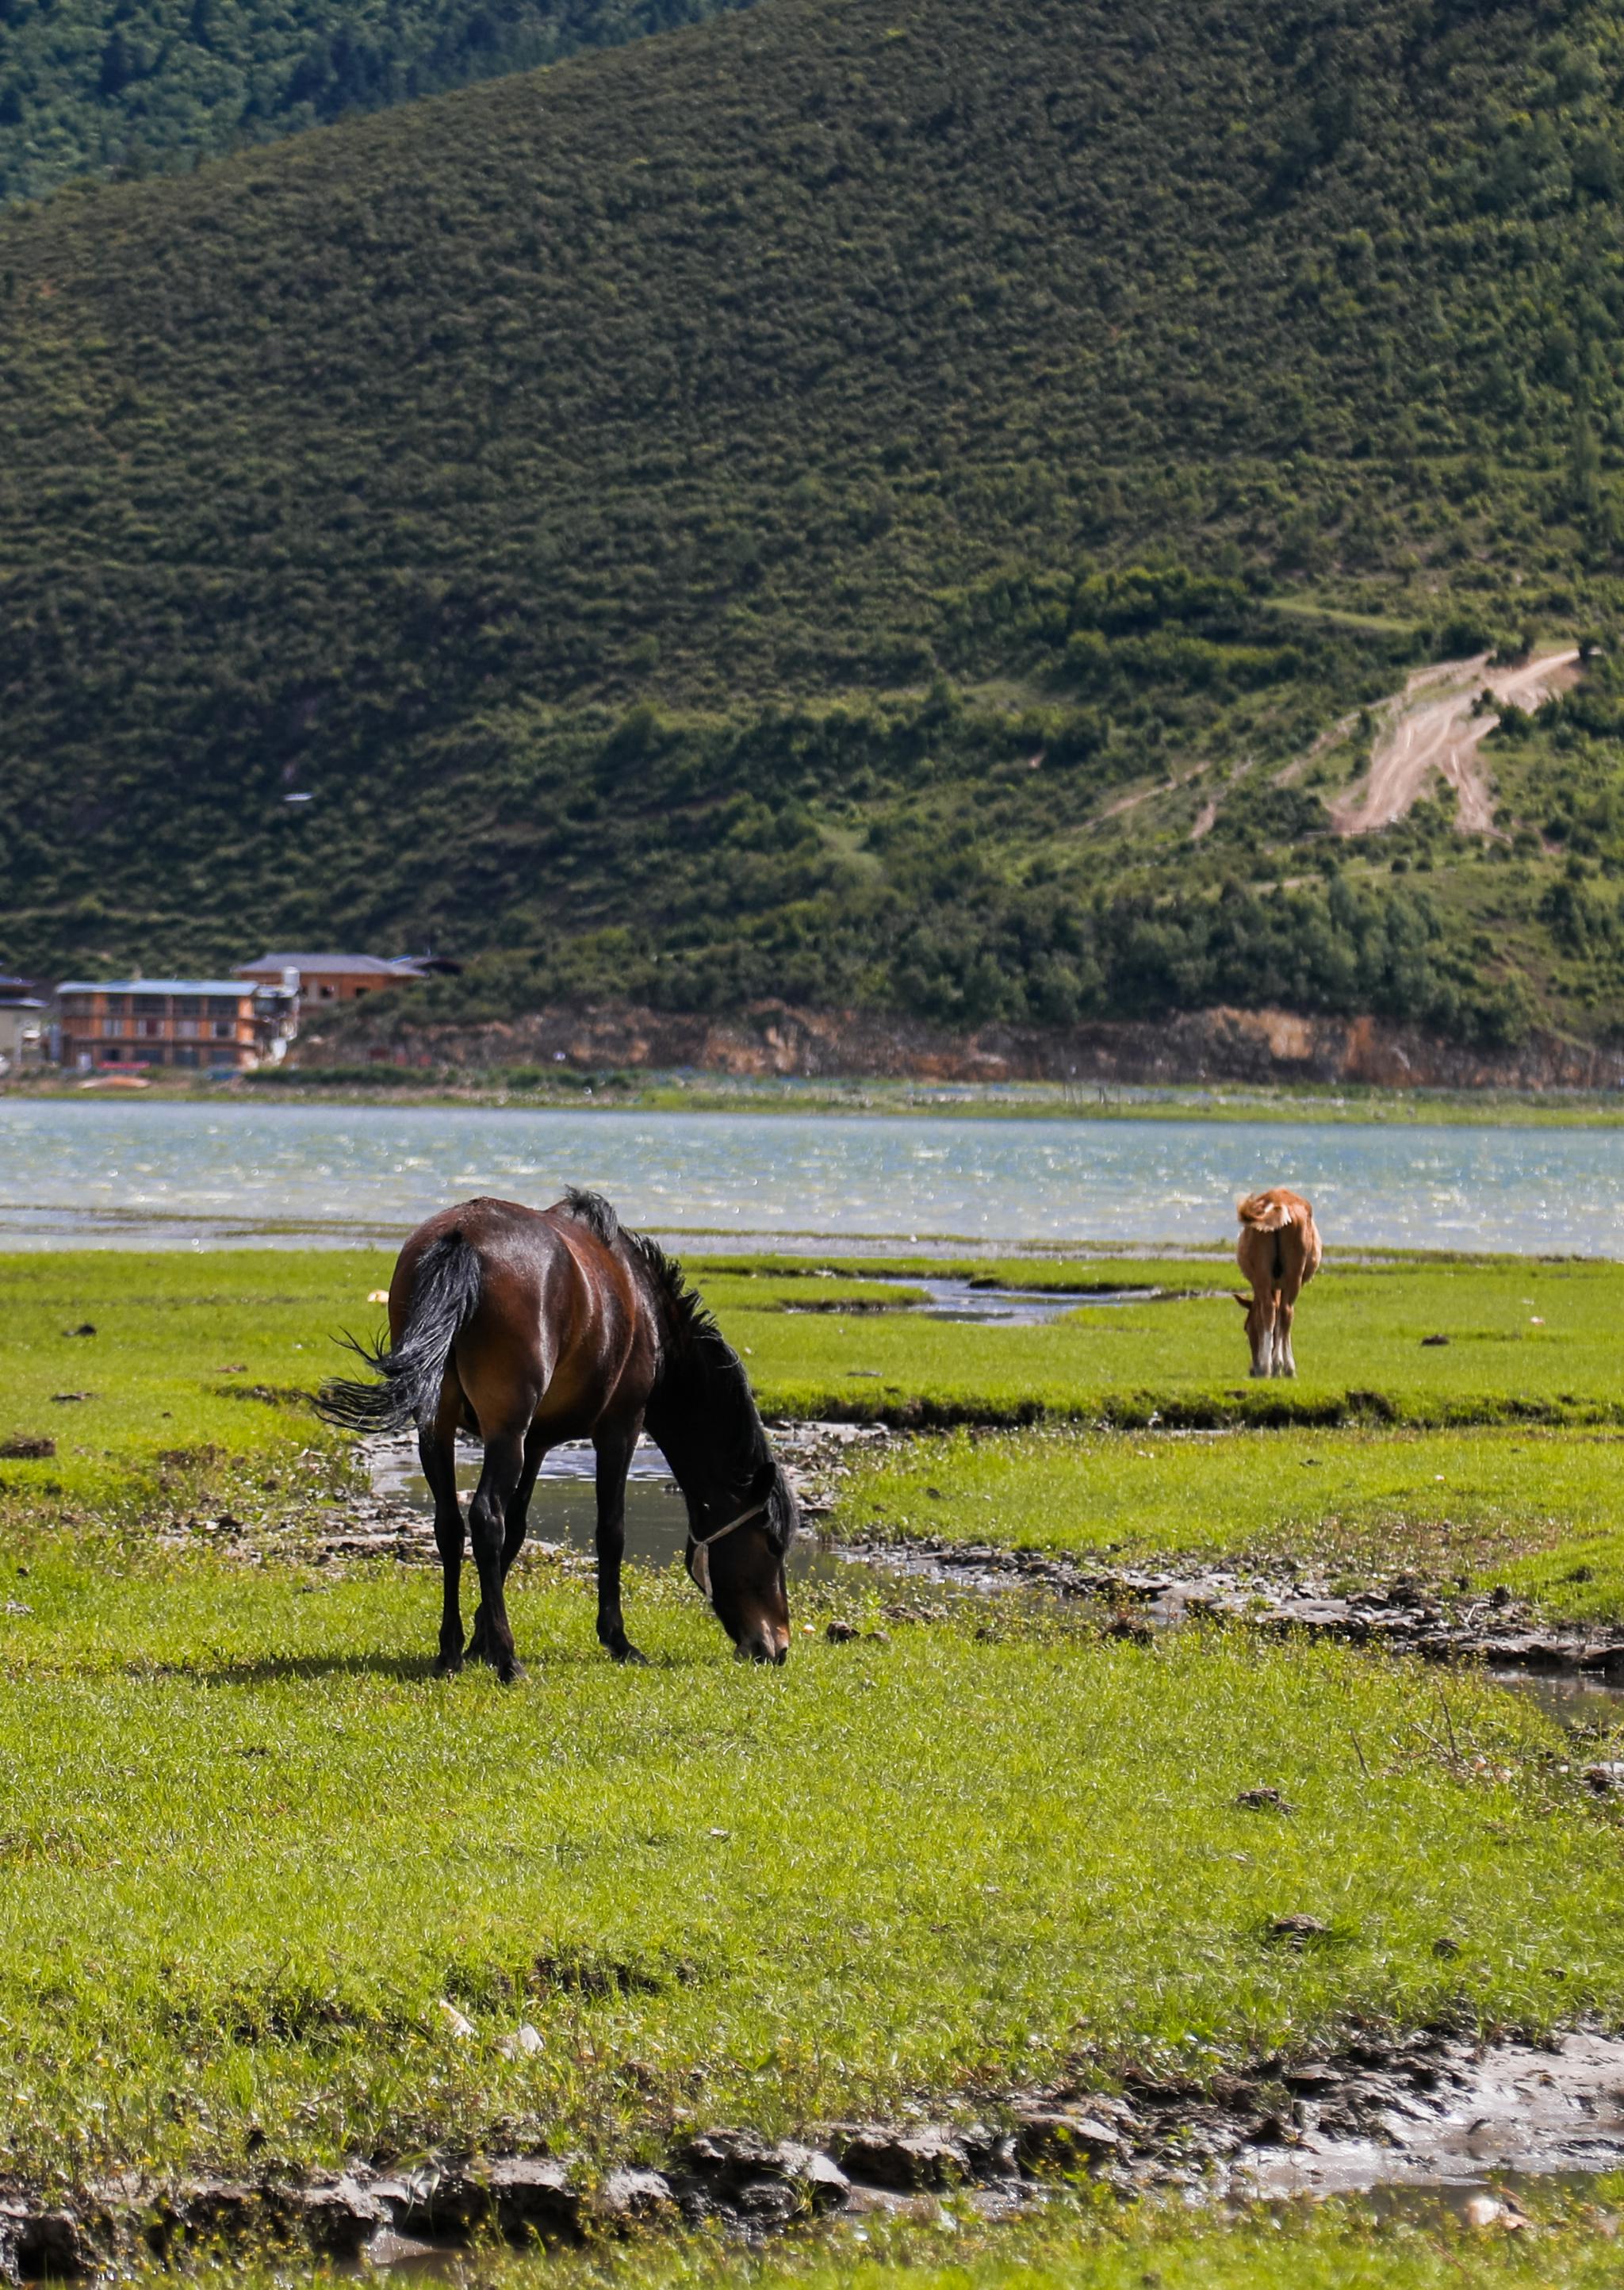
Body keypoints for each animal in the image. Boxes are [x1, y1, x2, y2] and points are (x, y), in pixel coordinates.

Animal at [313, 1200, 797, 1685]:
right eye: (772, 1545)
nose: (777, 1647)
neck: (644, 1307)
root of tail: (461, 1236)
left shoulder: (538, 1443)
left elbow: (517, 1530)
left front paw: (478, 1639)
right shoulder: (619, 1429)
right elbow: (609, 1532)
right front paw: (616, 1640)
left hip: (438, 1425)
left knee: (450, 1524)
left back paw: (450, 1652)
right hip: (506, 1431)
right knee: (486, 1517)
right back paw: (509, 1661)